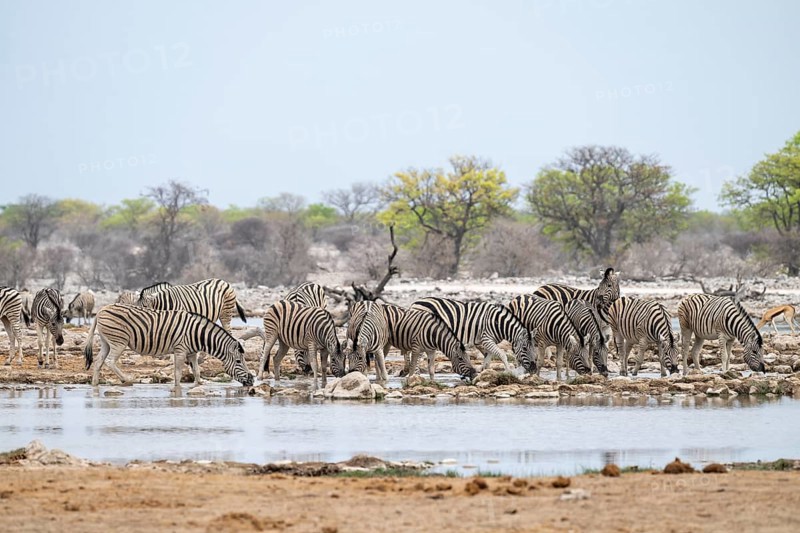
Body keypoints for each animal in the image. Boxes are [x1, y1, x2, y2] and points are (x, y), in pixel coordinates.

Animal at [84, 304, 253, 390]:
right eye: (239, 361)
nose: (252, 380)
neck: (197, 334)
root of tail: (100, 310)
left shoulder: (192, 353)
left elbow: (197, 372)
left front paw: (197, 386)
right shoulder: (180, 350)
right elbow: (178, 373)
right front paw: (177, 389)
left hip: (107, 342)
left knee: (98, 362)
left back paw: (95, 385)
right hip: (119, 341)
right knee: (109, 361)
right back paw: (126, 379)